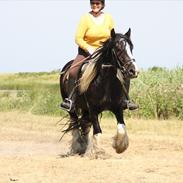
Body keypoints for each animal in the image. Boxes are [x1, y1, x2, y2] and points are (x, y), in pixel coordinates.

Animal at [59, 27, 139, 157]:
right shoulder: (93, 110)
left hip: (85, 110)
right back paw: (78, 147)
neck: (105, 82)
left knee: (84, 126)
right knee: (75, 123)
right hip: (72, 108)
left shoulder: (118, 108)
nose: (133, 71)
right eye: (118, 48)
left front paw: (119, 147)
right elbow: (97, 130)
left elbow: (121, 128)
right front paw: (98, 152)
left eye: (131, 48)